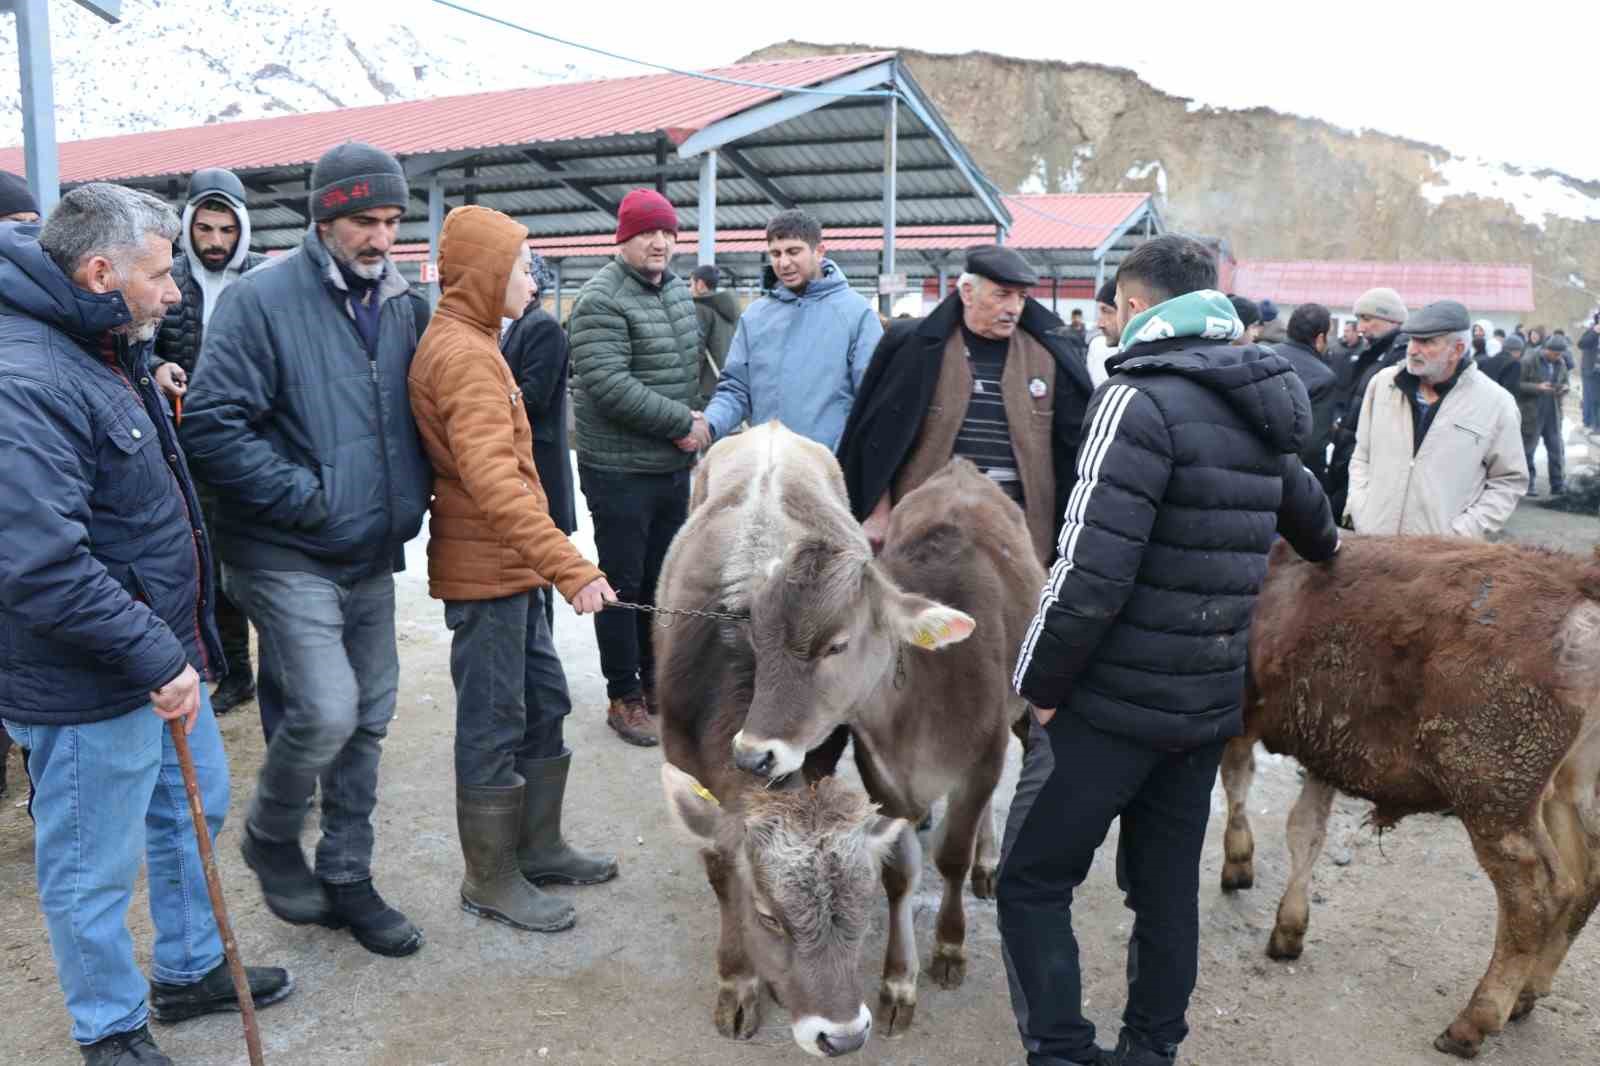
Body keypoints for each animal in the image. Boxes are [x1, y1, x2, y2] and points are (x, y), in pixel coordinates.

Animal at [649, 419, 1036, 1049]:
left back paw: (987, 858)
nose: (844, 1035)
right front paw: (739, 982)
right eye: (768, 915)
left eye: (836, 646)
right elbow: (722, 870)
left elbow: (939, 856)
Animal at [1216, 534, 1593, 1056]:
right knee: (1584, 881)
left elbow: (1238, 783)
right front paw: (1289, 927)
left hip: (1494, 794)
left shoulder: (1238, 719)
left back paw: (1473, 1022)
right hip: (1565, 792)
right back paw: (1526, 994)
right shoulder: (1324, 749)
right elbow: (1305, 829)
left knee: (1537, 893)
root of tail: (1573, 579)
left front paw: (1238, 864)